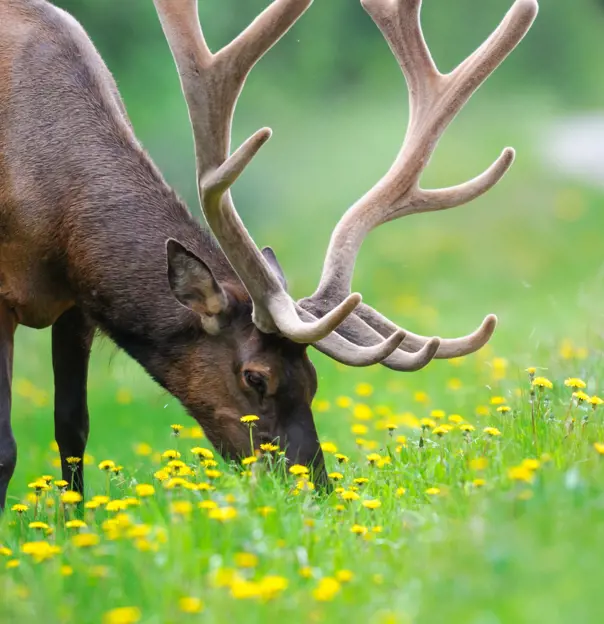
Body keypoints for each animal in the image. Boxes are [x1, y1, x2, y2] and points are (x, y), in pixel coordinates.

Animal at [0, 0, 536, 510]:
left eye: (314, 379)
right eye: (255, 377)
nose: (314, 489)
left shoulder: (78, 302)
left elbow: (72, 429)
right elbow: (8, 448)